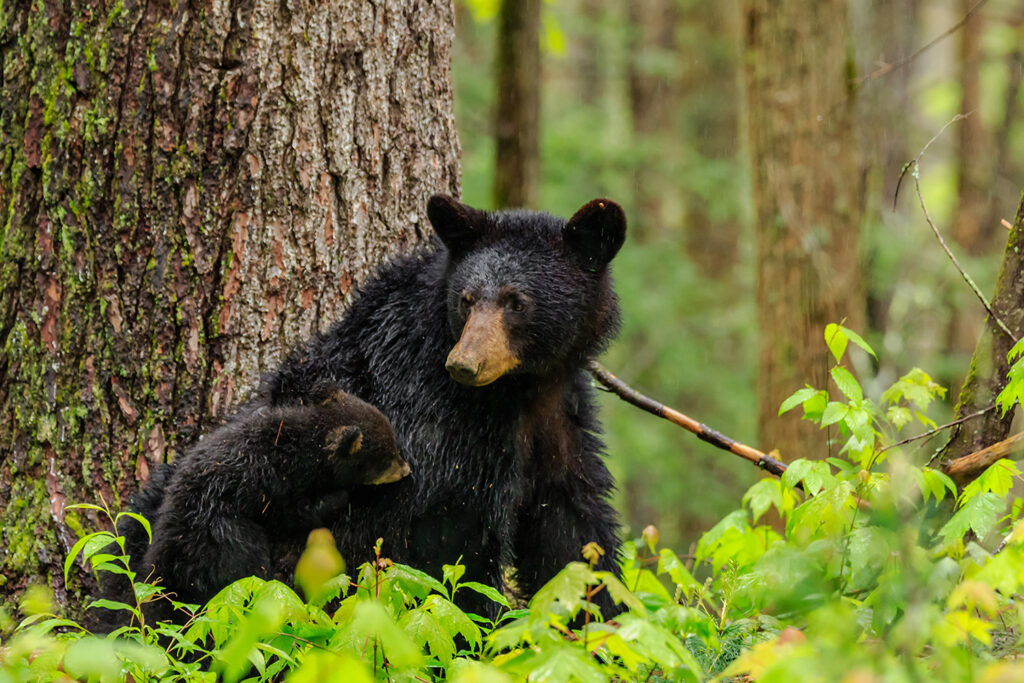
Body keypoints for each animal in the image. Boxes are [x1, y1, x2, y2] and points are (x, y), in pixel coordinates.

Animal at [117, 194, 626, 620]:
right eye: (466, 299)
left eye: (516, 301)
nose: (465, 364)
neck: (522, 388)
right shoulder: (445, 426)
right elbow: (457, 543)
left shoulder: (559, 419)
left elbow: (573, 527)